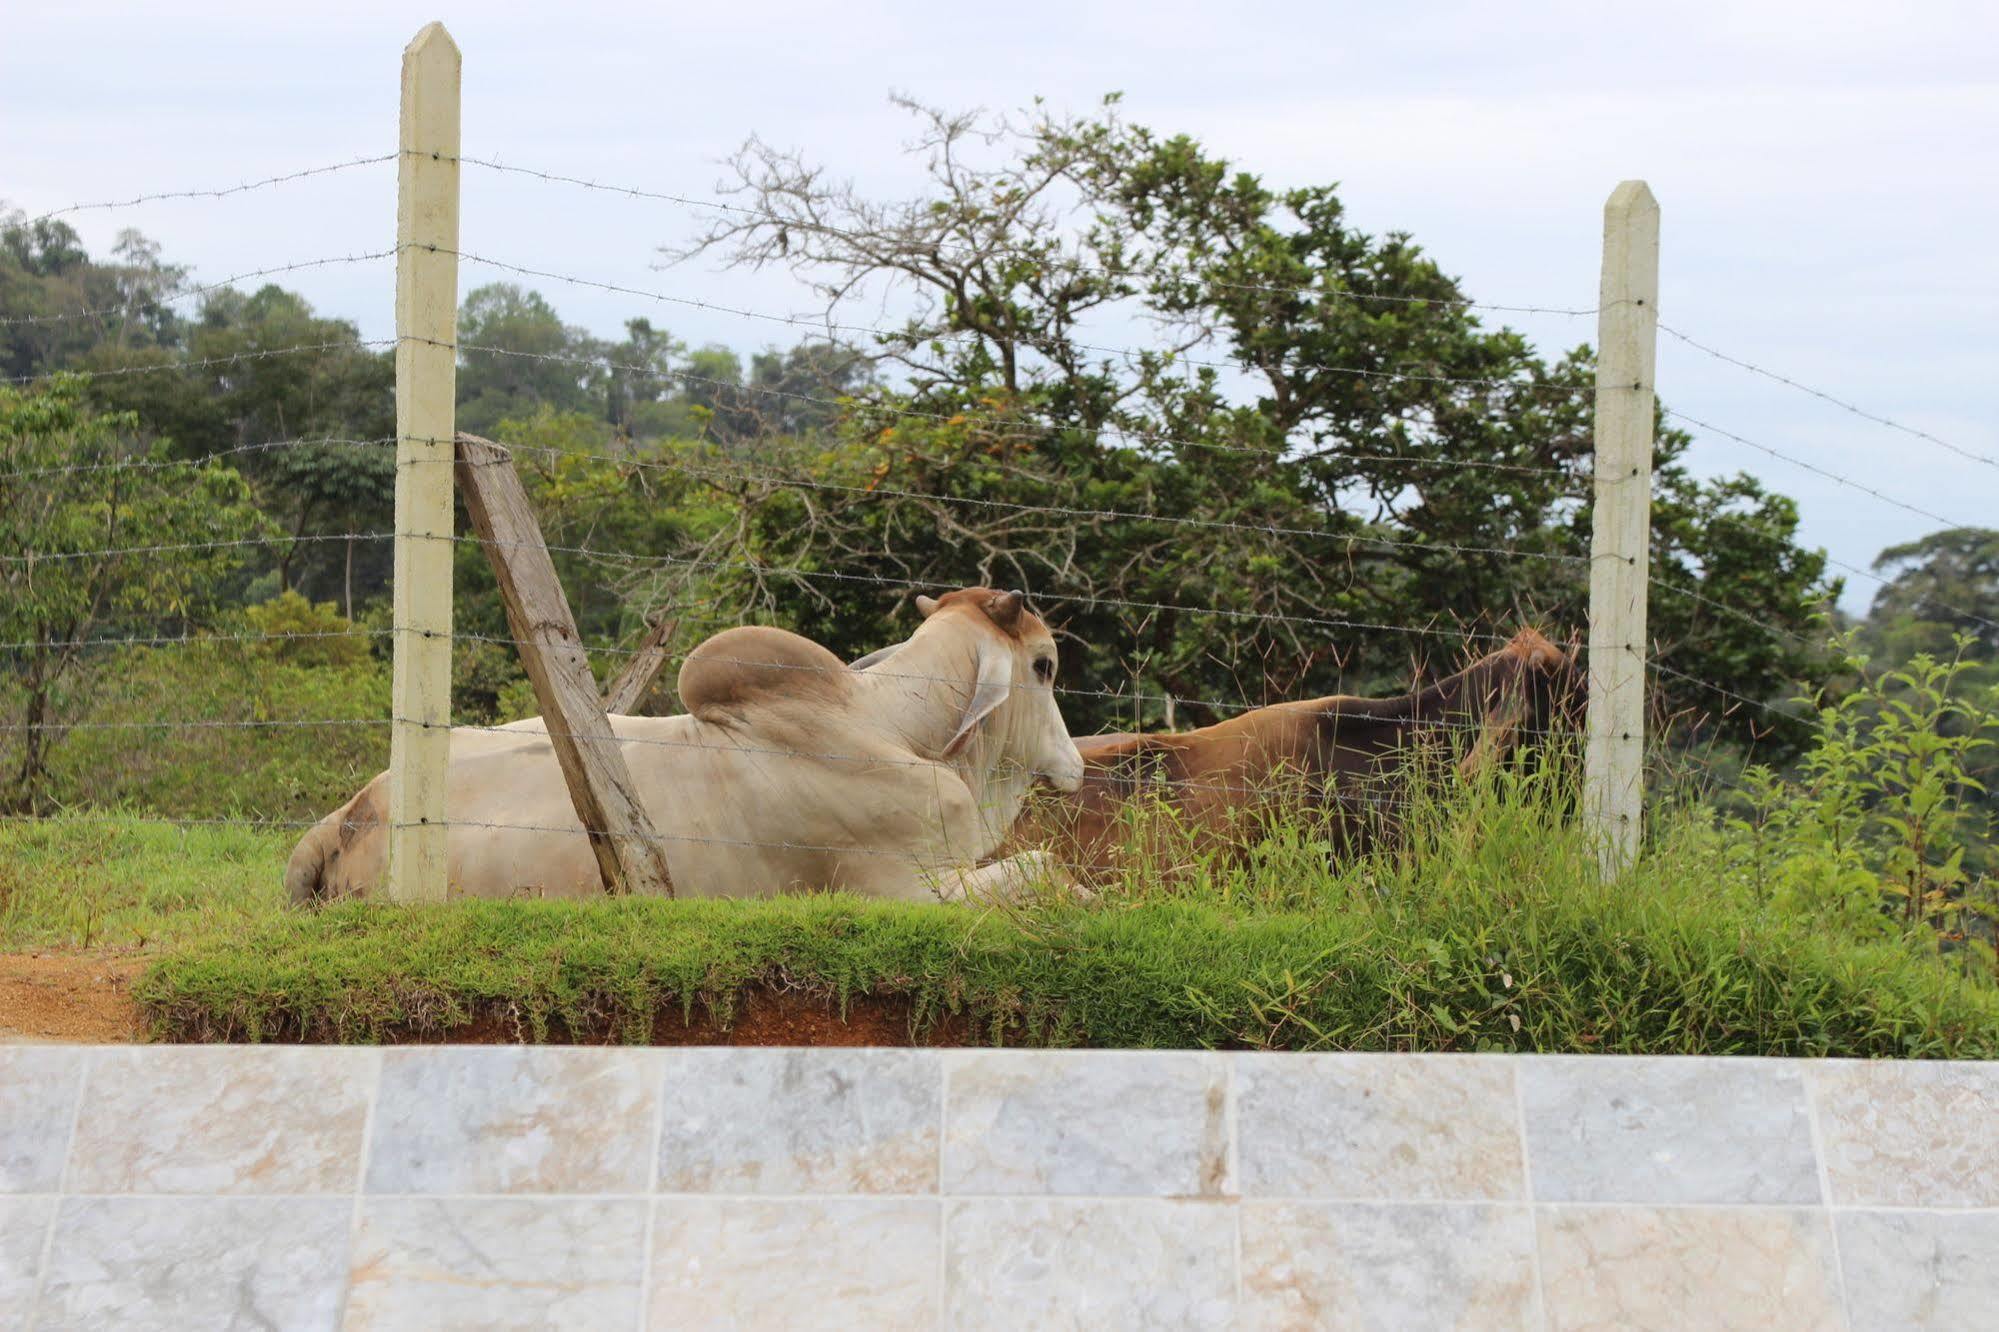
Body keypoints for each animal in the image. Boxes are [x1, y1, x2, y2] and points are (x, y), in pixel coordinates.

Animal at [285, 588, 1079, 904]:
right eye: (1045, 665)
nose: (1072, 765)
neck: (891, 728)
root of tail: (350, 813)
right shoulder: (905, 891)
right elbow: (1050, 868)